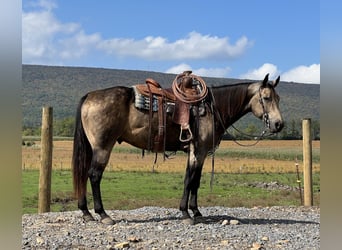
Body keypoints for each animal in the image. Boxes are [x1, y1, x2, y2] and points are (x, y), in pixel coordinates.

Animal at [71, 72, 284, 225]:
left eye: (278, 98)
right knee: (94, 175)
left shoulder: (200, 153)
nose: (278, 124)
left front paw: (196, 212)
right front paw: (185, 214)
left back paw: (86, 213)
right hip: (102, 147)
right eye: (266, 98)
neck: (213, 108)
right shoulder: (197, 151)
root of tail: (90, 96)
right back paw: (103, 215)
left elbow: (196, 181)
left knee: (84, 174)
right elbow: (189, 180)